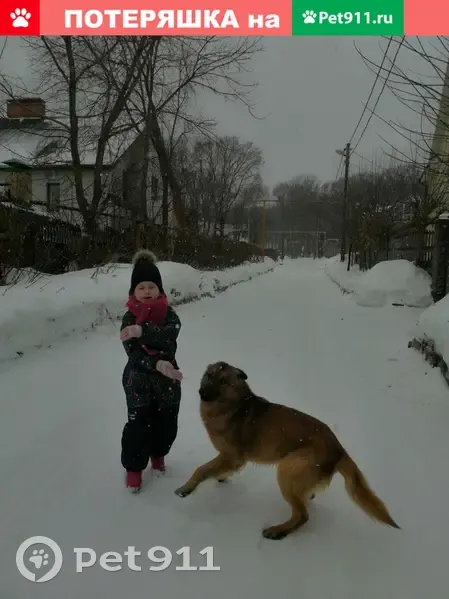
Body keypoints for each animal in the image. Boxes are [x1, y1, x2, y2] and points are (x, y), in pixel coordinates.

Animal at [175, 364, 400, 540]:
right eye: (209, 375)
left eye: (223, 381)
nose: (202, 393)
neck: (233, 404)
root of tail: (339, 449)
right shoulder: (233, 459)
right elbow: (214, 469)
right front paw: (220, 476)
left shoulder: (232, 456)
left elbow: (201, 469)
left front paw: (187, 488)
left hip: (286, 469)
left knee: (303, 515)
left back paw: (278, 531)